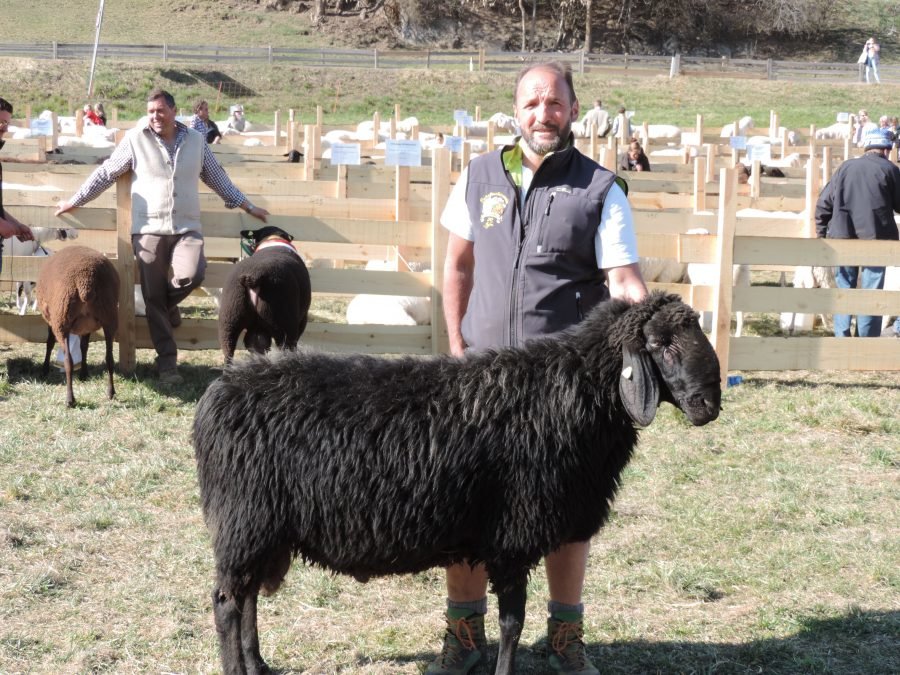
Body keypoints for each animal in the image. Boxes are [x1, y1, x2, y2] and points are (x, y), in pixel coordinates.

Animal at [36, 247, 119, 410]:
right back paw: (110, 392)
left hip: (62, 320)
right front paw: (84, 374)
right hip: (109, 317)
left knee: (68, 360)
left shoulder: (51, 319)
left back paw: (70, 399)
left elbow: (49, 343)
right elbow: (84, 346)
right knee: (109, 358)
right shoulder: (86, 327)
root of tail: (86, 282)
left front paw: (44, 369)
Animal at [193, 292, 720, 675]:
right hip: (246, 519)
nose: (709, 406)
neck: (570, 393)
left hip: (261, 527)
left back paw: (259, 665)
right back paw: (238, 669)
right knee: (227, 603)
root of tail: (218, 394)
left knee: (246, 597)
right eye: (663, 345)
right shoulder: (513, 534)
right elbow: (512, 621)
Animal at [218, 227, 312, 364]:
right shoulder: (302, 320)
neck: (273, 239)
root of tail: (254, 276)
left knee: (230, 354)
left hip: (229, 321)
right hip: (285, 325)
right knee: (286, 351)